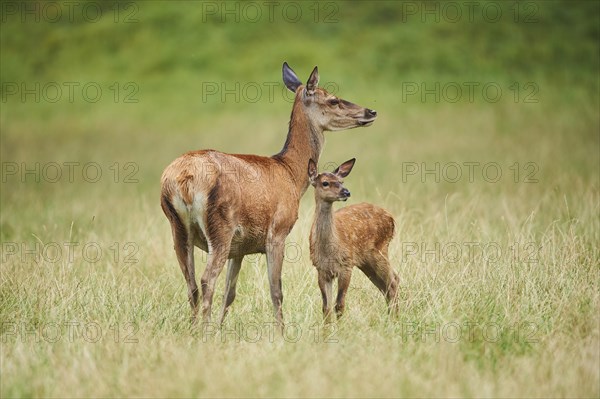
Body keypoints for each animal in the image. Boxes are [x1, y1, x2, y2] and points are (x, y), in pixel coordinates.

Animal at [159, 62, 376, 328]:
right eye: (333, 99)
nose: (370, 111)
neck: (291, 174)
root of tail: (183, 179)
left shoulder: (240, 248)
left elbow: (230, 294)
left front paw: (221, 329)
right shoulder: (278, 231)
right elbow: (276, 290)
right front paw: (282, 332)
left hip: (178, 228)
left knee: (191, 285)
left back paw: (193, 329)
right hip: (220, 227)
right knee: (206, 279)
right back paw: (203, 330)